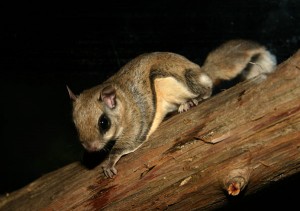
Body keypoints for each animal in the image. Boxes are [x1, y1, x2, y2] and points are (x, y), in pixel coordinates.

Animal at [67, 39, 276, 178]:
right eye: (75, 126)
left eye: (104, 122)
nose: (91, 147)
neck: (123, 103)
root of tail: (201, 70)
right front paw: (88, 157)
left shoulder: (136, 120)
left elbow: (125, 144)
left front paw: (110, 161)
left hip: (168, 76)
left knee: (207, 89)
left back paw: (191, 101)